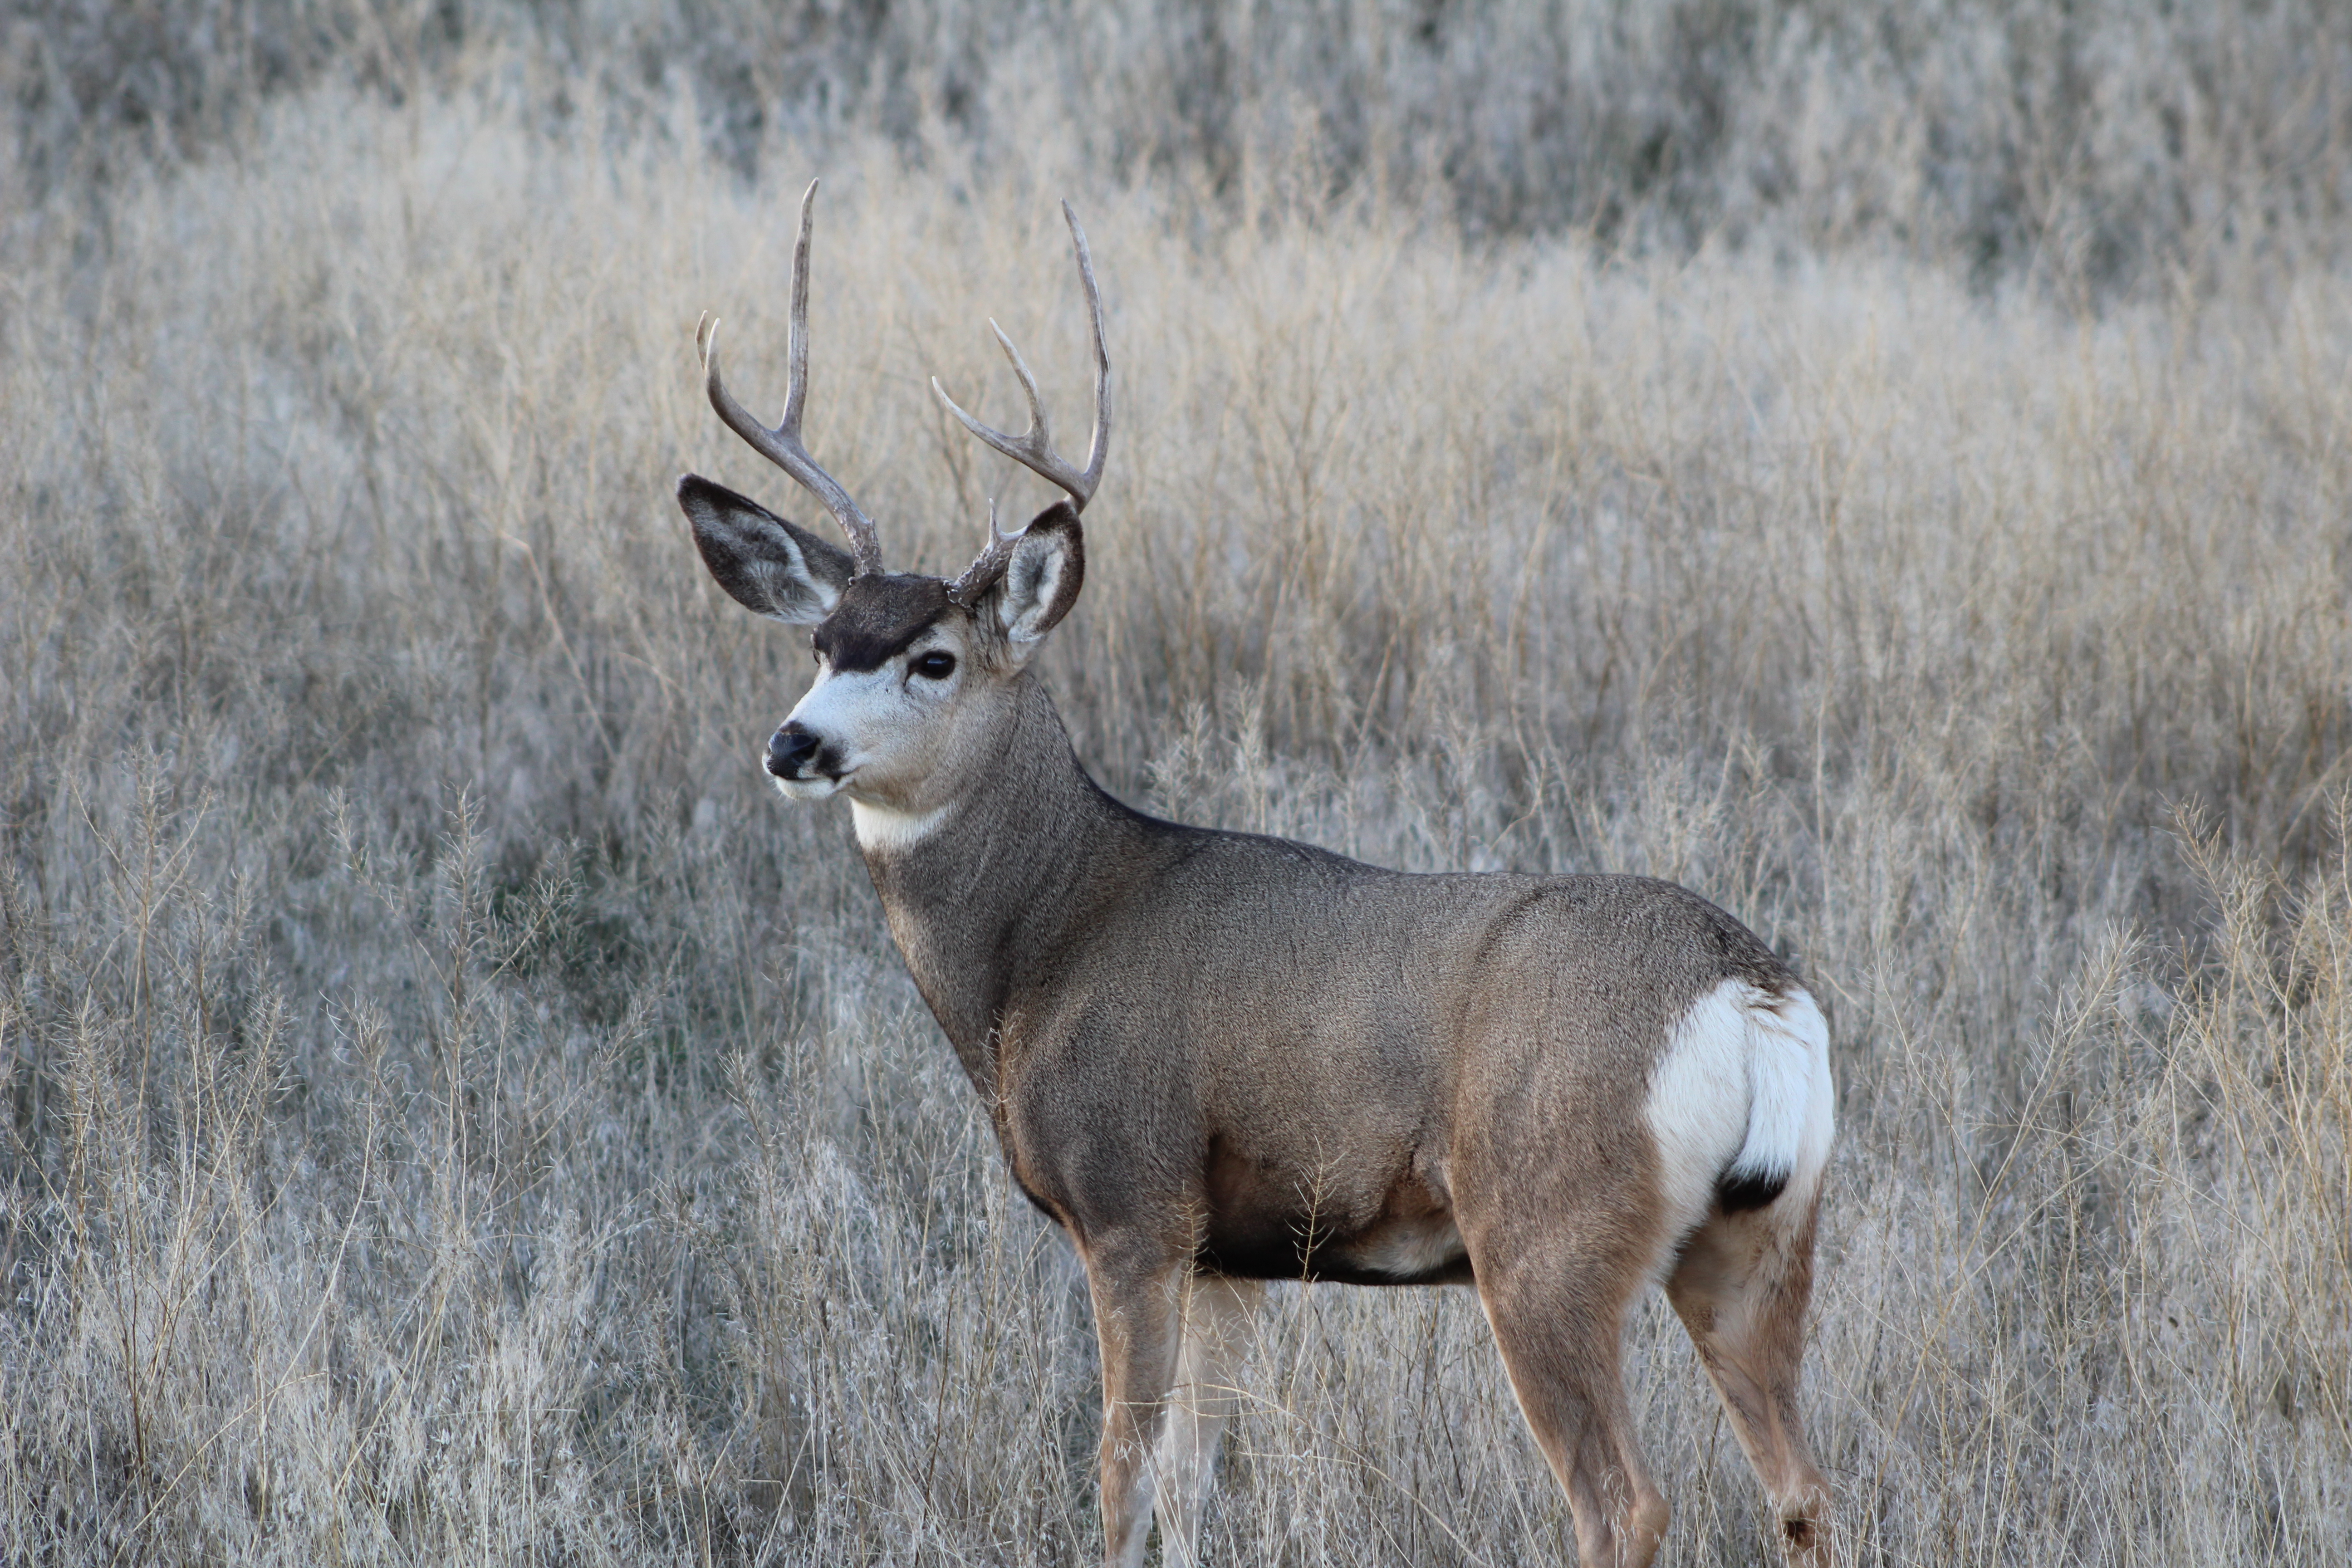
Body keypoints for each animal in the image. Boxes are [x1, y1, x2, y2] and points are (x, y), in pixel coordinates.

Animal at [674, 182, 1838, 1568]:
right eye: (820, 641)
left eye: (934, 659)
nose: (793, 744)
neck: (1045, 946)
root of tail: (1748, 992)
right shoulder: (1232, 1254)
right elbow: (1192, 1488)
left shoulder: (1133, 1201)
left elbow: (1121, 1483)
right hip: (1759, 1237)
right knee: (1806, 1490)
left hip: (1546, 1227)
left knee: (1624, 1498)